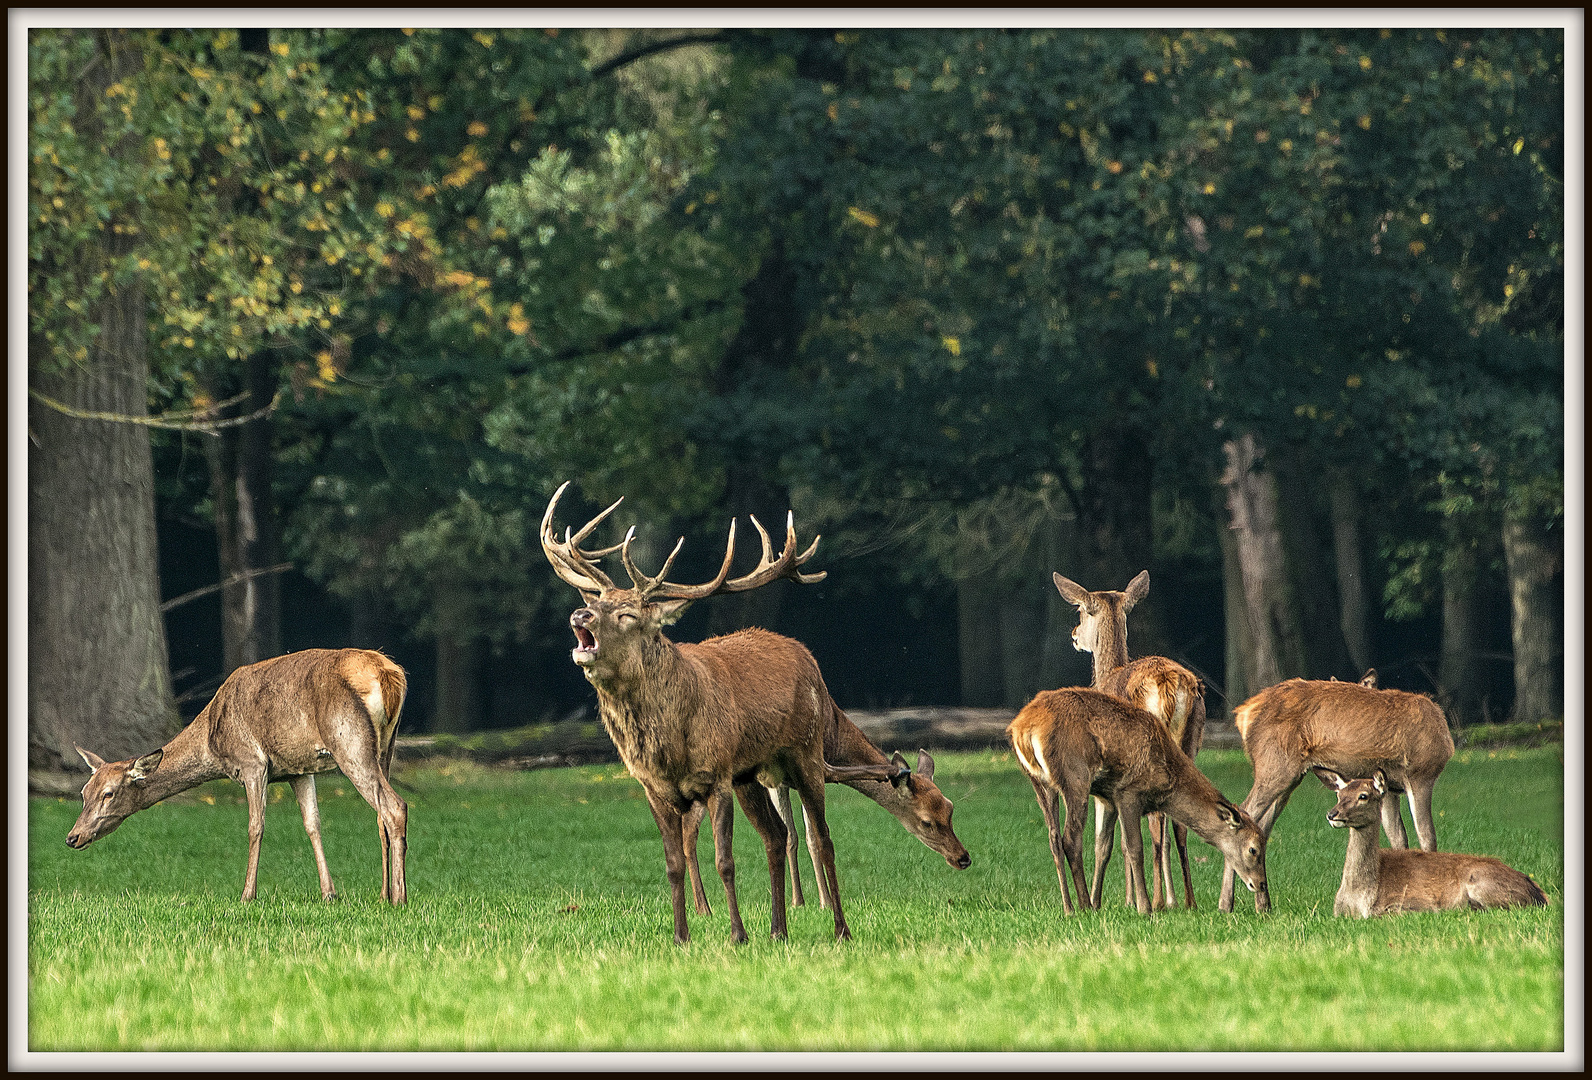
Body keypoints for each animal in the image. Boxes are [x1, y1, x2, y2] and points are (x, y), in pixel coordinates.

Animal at [63, 653, 410, 904]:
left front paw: (247, 895)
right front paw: (329, 894)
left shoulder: (253, 762)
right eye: (84, 792)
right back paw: (383, 894)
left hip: (348, 739)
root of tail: (389, 676)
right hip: (386, 746)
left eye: (108, 793)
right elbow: (312, 823)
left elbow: (255, 827)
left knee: (395, 806)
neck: (213, 742)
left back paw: (400, 898)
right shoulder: (298, 768)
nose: (72, 837)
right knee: (380, 813)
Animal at [541, 484, 961, 949]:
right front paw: (681, 938)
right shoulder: (654, 787)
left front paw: (737, 935)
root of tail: (805, 657)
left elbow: (726, 860)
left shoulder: (718, 774)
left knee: (823, 839)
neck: (667, 747)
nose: (580, 614)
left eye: (628, 614)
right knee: (776, 837)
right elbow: (673, 863)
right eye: (596, 602)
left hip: (804, 756)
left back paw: (840, 929)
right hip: (756, 774)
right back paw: (778, 930)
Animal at [1006, 694, 1267, 911]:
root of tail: (1022, 729)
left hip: (1040, 783)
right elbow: (1135, 848)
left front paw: (1098, 902)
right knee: (1070, 838)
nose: (1261, 884)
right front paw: (1144, 907)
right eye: (1253, 849)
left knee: (1053, 838)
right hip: (1075, 776)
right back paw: (1083, 906)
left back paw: (1070, 907)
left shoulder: (1108, 797)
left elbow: (1104, 846)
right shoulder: (1128, 792)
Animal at [1057, 570, 1203, 911]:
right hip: (1190, 742)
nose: (1074, 634)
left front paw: (1114, 900)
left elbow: (1110, 842)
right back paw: (1185, 900)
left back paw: (1161, 900)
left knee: (1157, 822)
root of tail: (1169, 685)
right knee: (1177, 820)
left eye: (1081, 611)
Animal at [1216, 675, 1458, 911]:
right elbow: (1427, 837)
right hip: (1275, 763)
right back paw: (1226, 905)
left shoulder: (1390, 790)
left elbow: (1399, 838)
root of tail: (1244, 713)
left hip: (1289, 776)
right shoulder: (1421, 774)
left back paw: (1263, 905)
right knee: (1243, 811)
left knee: (1262, 827)